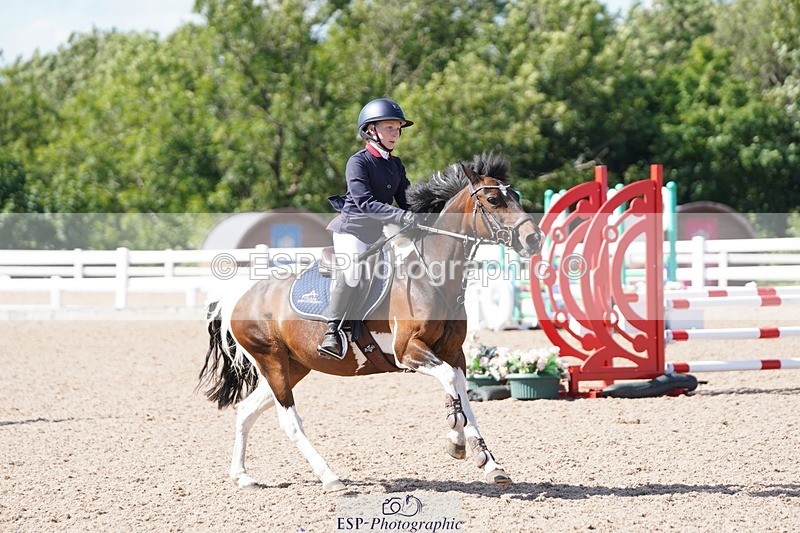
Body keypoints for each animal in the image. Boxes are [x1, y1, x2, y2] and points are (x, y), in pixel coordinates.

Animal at [198, 152, 543, 492]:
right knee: (289, 421)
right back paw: (330, 477)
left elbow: (461, 391)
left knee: (246, 410)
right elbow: (449, 381)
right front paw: (456, 439)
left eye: (515, 196)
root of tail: (240, 294)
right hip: (271, 361)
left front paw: (490, 463)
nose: (534, 239)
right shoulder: (408, 350)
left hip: (294, 365)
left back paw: (243, 476)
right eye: (493, 199)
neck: (431, 275)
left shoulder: (454, 352)